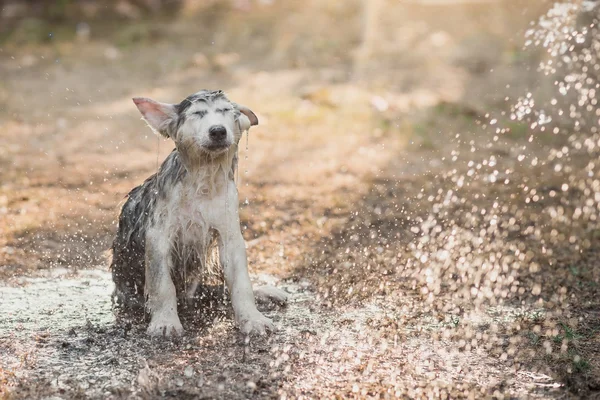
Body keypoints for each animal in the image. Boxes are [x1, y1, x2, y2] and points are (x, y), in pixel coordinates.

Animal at [110, 89, 288, 336]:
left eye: (225, 111)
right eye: (197, 113)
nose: (218, 131)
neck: (202, 182)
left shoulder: (230, 235)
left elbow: (241, 283)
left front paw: (252, 319)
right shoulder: (158, 235)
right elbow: (162, 284)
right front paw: (165, 321)